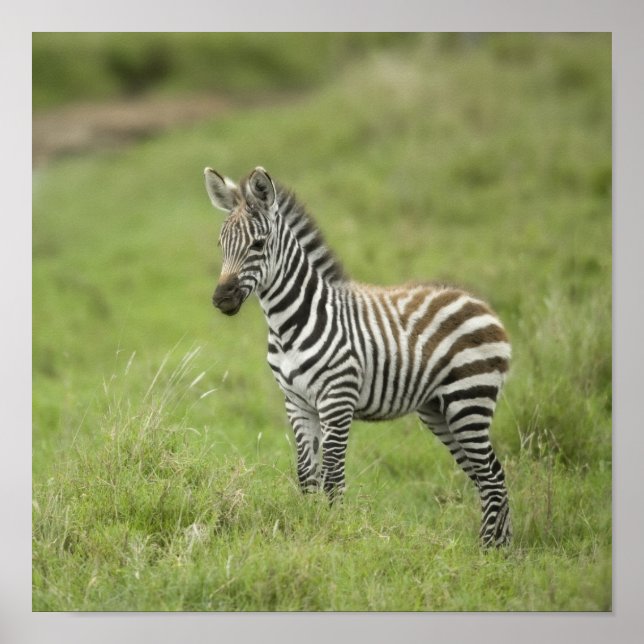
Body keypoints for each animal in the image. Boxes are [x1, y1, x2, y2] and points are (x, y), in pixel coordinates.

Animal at [204, 166, 512, 548]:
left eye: (258, 244)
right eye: (221, 245)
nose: (221, 299)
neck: (289, 324)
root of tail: (480, 303)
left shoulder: (337, 400)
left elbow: (333, 478)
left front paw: (332, 535)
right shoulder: (296, 402)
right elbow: (307, 476)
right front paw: (309, 528)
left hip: (469, 400)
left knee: (493, 476)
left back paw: (489, 551)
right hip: (439, 411)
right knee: (486, 476)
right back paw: (502, 549)